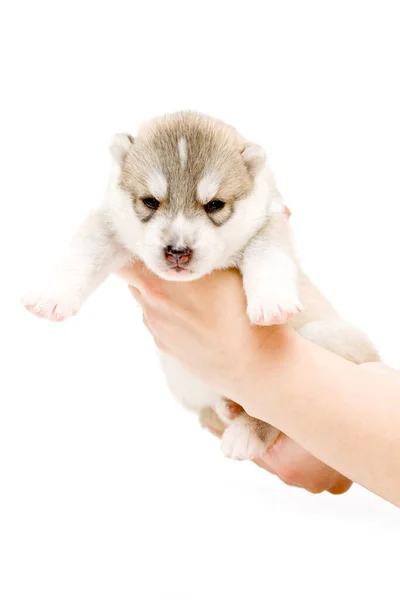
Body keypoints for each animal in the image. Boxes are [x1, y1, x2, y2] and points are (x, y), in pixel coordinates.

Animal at [21, 111, 378, 460]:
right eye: (150, 201)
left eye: (215, 205)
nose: (178, 251)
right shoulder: (109, 221)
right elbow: (83, 251)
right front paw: (51, 297)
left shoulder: (269, 220)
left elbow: (269, 256)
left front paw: (272, 303)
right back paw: (228, 406)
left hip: (331, 336)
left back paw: (245, 432)